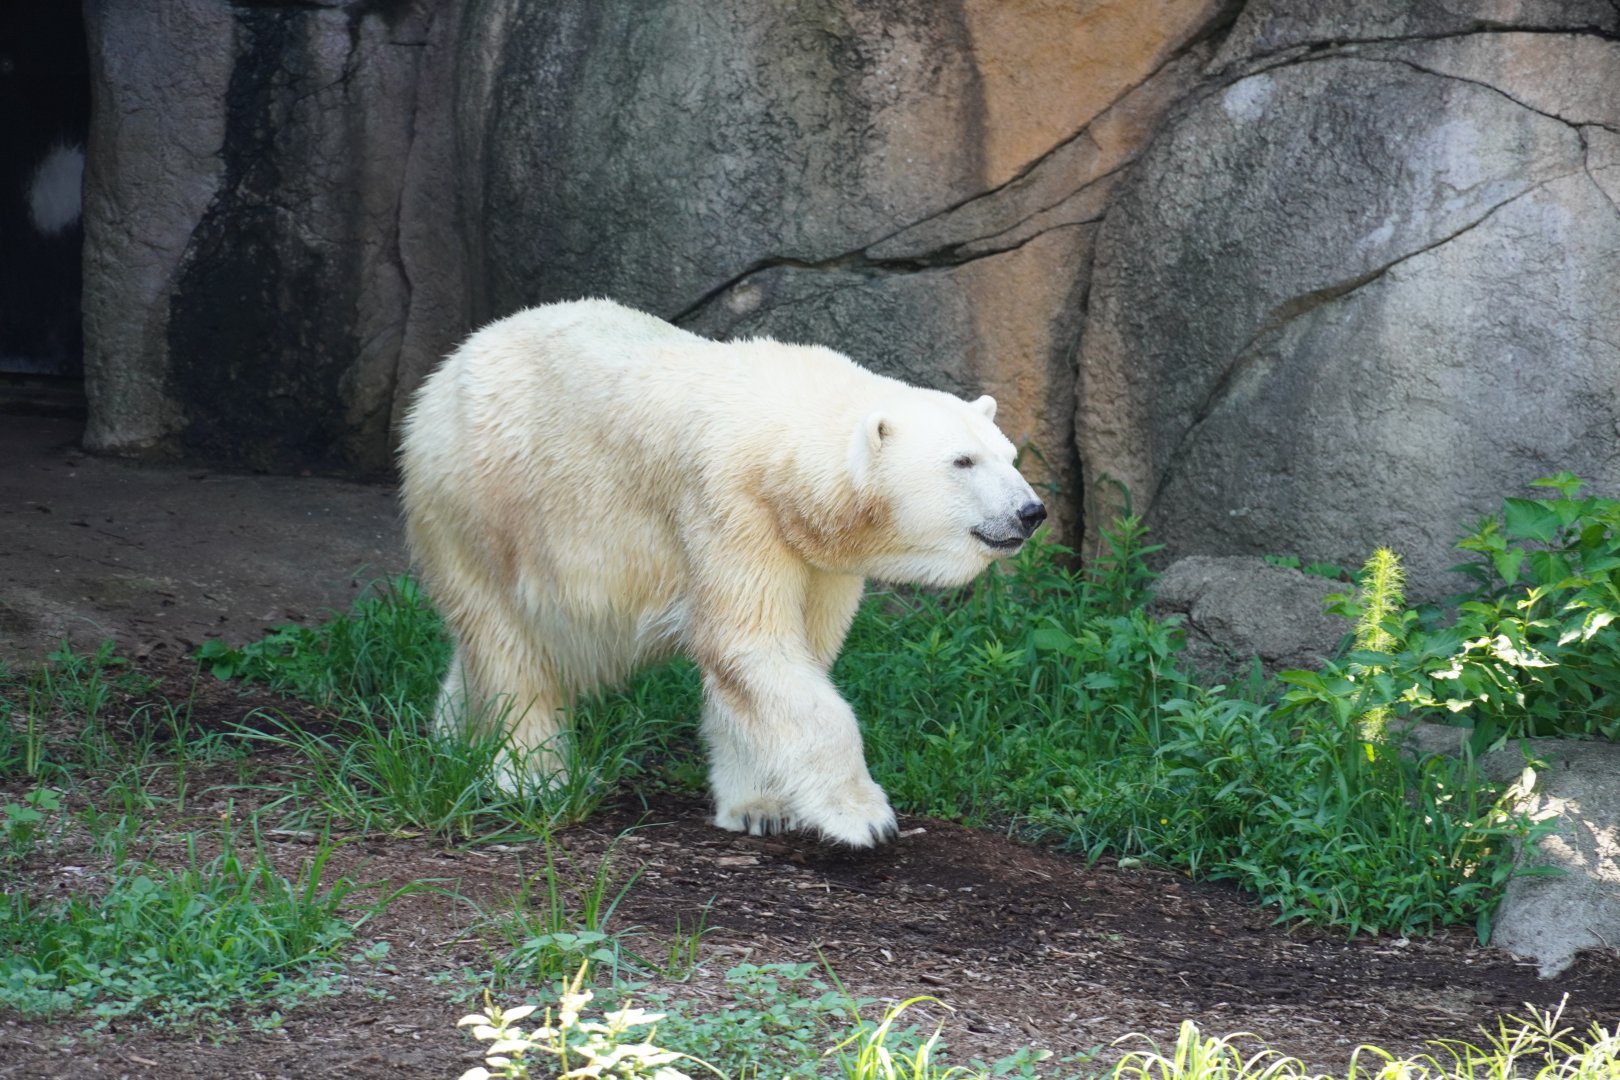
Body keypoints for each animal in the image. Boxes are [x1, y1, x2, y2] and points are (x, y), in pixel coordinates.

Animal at [398, 298, 1045, 847]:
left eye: (1010, 456)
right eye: (962, 461)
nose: (1031, 512)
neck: (781, 437)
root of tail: (445, 372)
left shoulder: (815, 554)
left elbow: (787, 661)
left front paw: (761, 808)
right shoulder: (729, 505)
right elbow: (752, 645)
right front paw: (865, 816)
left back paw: (450, 733)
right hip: (481, 503)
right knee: (510, 645)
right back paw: (532, 777)